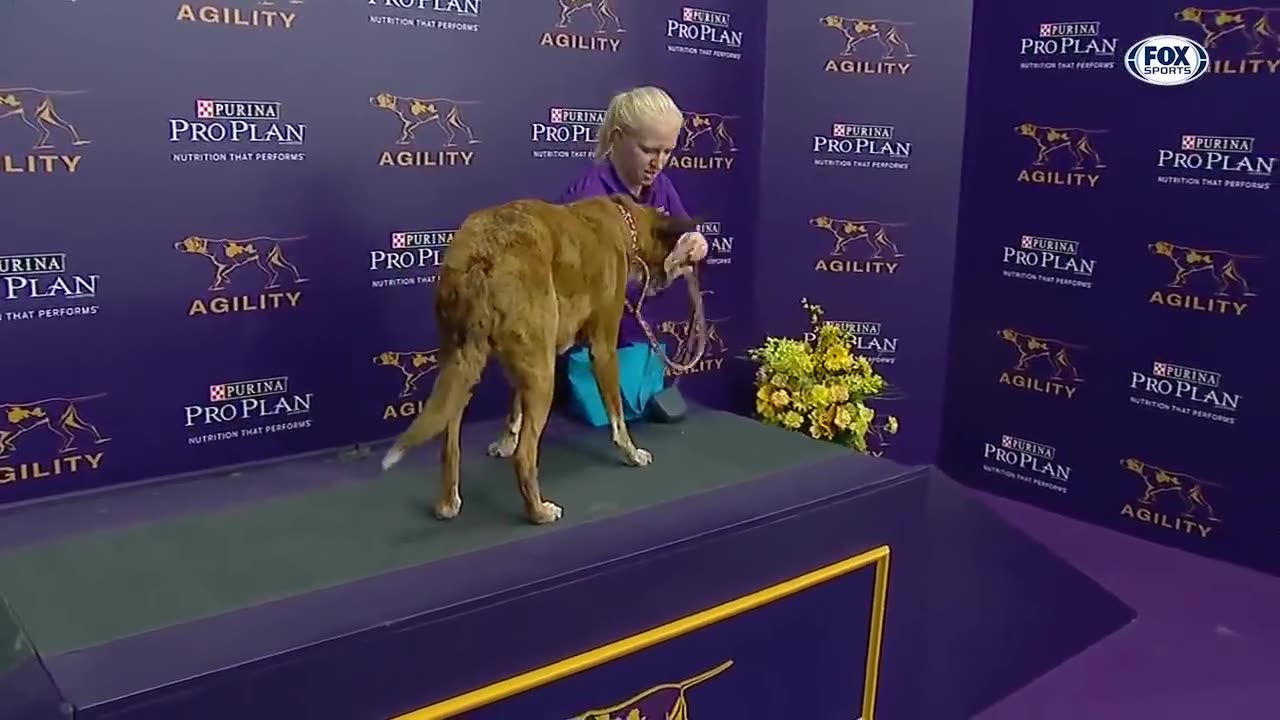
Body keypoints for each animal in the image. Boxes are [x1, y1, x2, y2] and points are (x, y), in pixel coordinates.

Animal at [378, 193, 706, 525]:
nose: (667, 282)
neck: (623, 219)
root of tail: (481, 253)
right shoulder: (602, 349)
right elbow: (617, 418)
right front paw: (632, 454)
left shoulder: (526, 362)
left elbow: (515, 408)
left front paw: (504, 442)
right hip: (542, 374)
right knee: (525, 456)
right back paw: (538, 511)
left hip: (465, 366)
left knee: (449, 447)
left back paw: (447, 504)